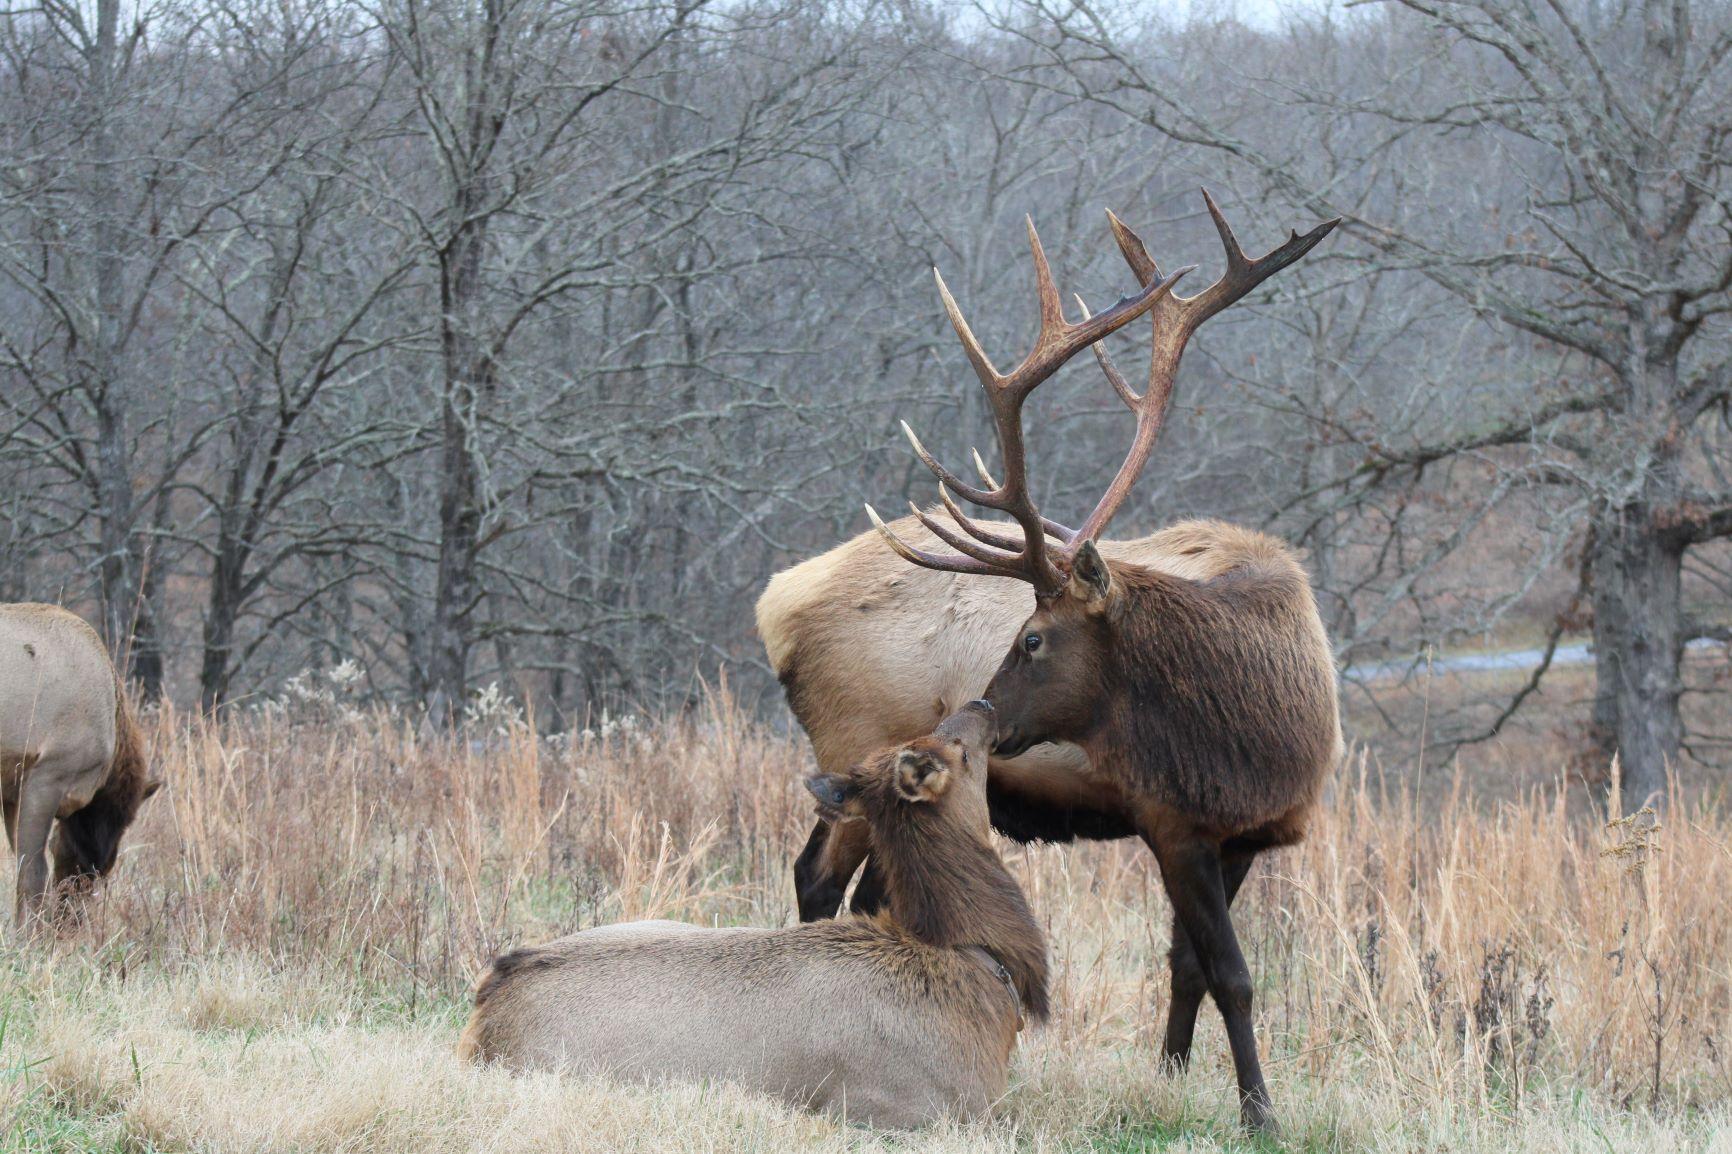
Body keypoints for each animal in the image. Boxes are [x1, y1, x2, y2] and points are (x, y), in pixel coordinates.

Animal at [754, 192, 1341, 1132]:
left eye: (1033, 638)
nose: (986, 713)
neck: (1266, 729)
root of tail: (777, 604)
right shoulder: (1171, 815)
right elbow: (1234, 976)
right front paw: (1260, 1115)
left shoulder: (1245, 834)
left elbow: (1186, 966)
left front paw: (1170, 1080)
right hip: (851, 742)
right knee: (814, 880)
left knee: (870, 896)